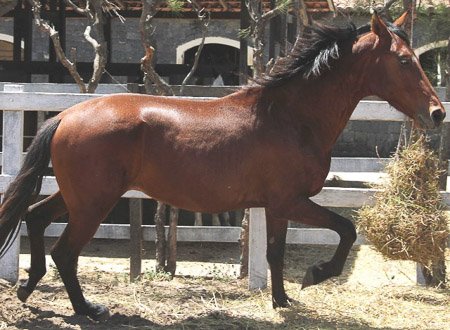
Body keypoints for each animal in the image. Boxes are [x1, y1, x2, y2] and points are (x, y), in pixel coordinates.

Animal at [0, 12, 444, 320]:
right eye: (404, 61)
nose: (437, 113)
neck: (291, 117)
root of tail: (66, 115)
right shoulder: (290, 201)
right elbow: (332, 234)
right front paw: (310, 278)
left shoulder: (278, 206)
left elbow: (282, 249)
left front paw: (284, 297)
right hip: (94, 202)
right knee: (65, 251)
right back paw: (87, 309)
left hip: (78, 195)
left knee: (35, 217)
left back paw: (27, 287)